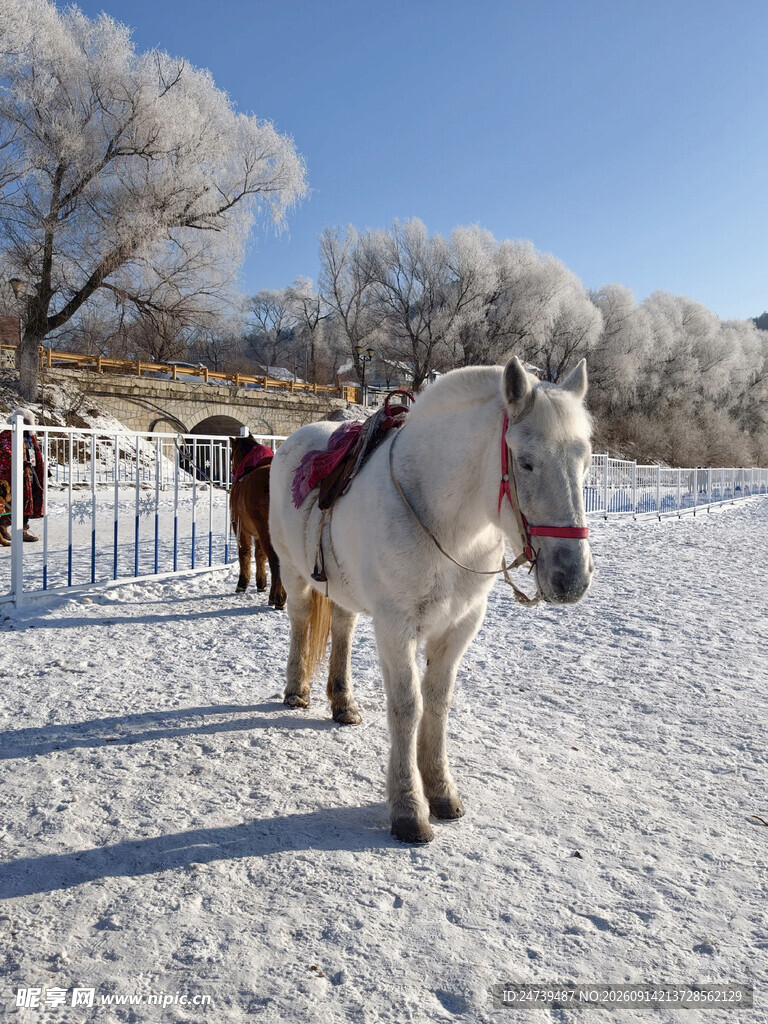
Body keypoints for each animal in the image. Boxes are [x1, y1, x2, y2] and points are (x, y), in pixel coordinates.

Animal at [230, 435, 286, 609]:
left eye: (231, 455)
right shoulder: (258, 533)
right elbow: (260, 555)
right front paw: (261, 584)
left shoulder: (241, 528)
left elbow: (245, 552)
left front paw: (242, 583)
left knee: (276, 561)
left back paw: (278, 598)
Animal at [268, 356, 594, 843]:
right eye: (526, 462)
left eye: (585, 460)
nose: (572, 577)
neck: (447, 525)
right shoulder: (396, 627)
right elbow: (408, 707)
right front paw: (408, 808)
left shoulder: (460, 625)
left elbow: (438, 704)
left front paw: (440, 790)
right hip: (294, 573)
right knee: (301, 621)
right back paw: (297, 690)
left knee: (342, 628)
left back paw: (343, 703)